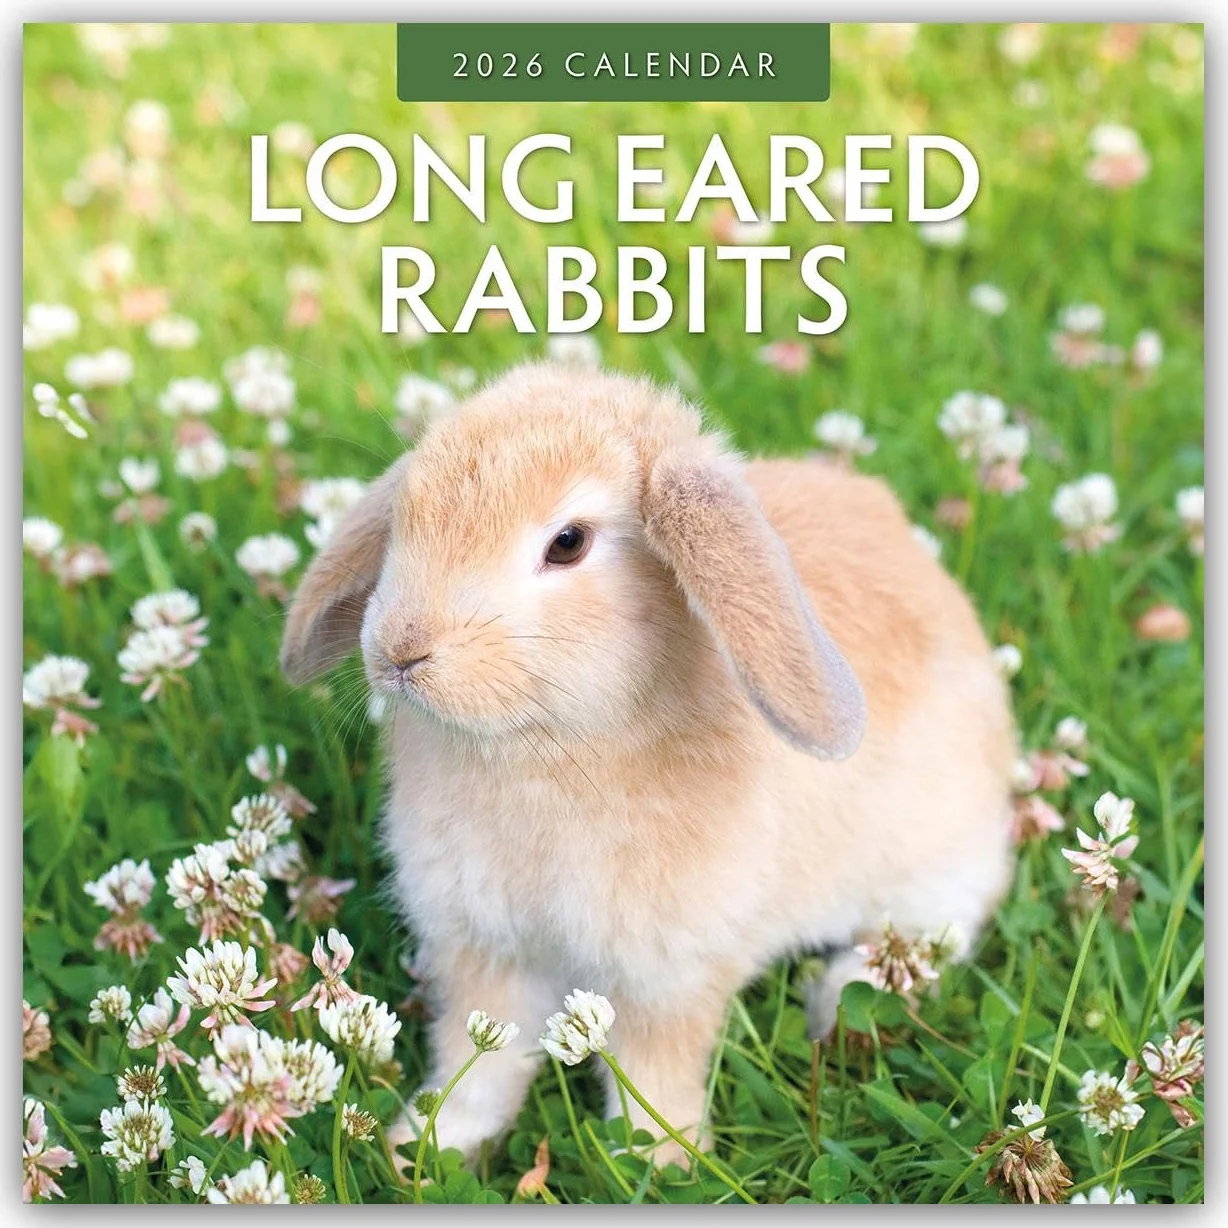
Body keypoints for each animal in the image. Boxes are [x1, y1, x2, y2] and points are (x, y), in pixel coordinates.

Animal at [280, 362, 1016, 1169]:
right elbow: (480, 1059)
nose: (401, 648)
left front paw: (666, 1162)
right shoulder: (485, 951)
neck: (544, 747)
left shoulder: (667, 974)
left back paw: (839, 1003)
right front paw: (430, 1146)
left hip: (933, 867)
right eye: (404, 515)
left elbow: (652, 1074)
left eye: (568, 543)